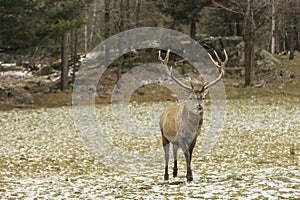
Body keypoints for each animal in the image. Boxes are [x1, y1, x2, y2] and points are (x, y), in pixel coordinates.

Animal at [158, 48, 226, 181]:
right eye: (190, 98)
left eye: (203, 97)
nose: (199, 106)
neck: (191, 128)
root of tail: (163, 113)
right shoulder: (182, 137)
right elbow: (187, 155)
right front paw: (189, 176)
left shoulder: (194, 137)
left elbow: (191, 154)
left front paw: (189, 174)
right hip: (164, 136)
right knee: (167, 155)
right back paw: (166, 175)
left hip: (174, 140)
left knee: (174, 151)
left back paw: (175, 173)